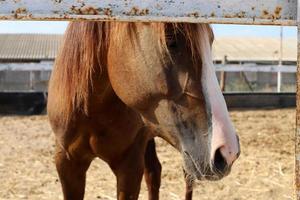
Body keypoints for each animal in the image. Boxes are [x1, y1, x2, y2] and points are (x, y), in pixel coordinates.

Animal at [48, 21, 241, 199]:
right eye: (170, 39)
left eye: (210, 40)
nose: (228, 151)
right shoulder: (67, 164)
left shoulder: (130, 167)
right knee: (154, 173)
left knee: (185, 178)